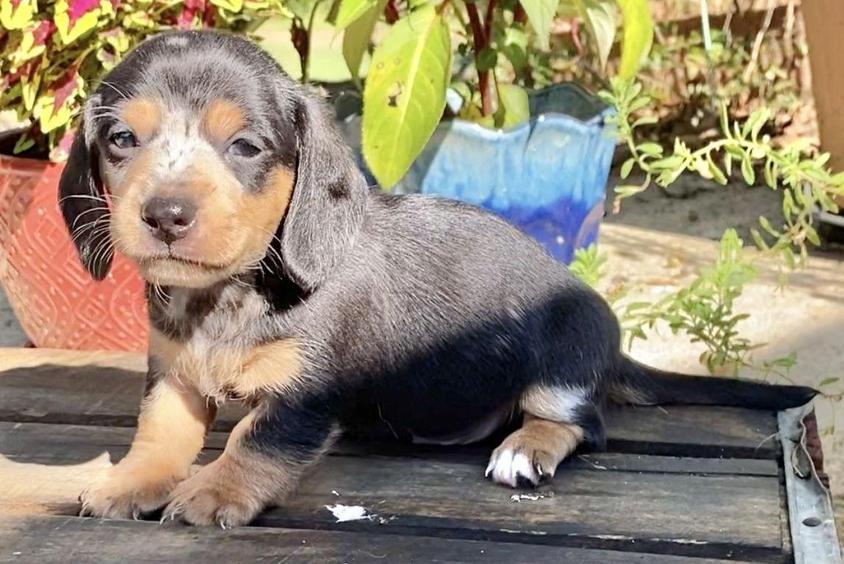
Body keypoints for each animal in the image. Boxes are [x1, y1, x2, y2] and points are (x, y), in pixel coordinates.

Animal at [59, 29, 812, 524]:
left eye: (244, 146)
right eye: (122, 139)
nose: (165, 214)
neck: (230, 293)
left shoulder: (306, 392)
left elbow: (256, 440)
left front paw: (213, 492)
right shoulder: (173, 374)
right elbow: (160, 434)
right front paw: (132, 482)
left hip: (563, 356)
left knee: (577, 422)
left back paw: (525, 448)